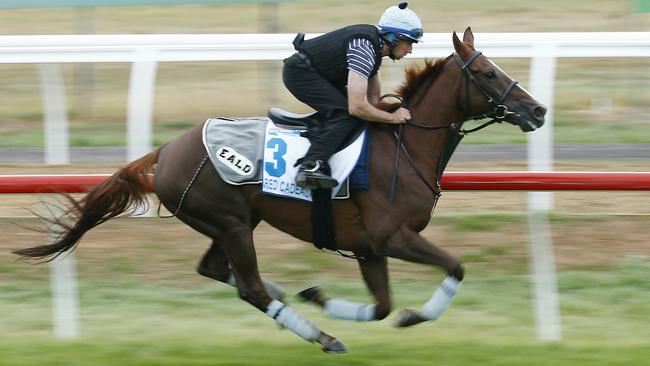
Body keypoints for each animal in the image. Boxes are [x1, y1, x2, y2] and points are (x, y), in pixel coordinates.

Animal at [13, 27, 540, 354]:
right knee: (247, 286)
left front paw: (321, 295)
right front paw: (413, 317)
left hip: (229, 222)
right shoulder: (393, 237)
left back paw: (288, 296)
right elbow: (454, 267)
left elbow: (382, 305)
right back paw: (321, 335)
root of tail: (165, 150)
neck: (405, 146)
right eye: (488, 73)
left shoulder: (369, 247)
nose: (538, 111)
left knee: (215, 269)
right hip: (229, 222)